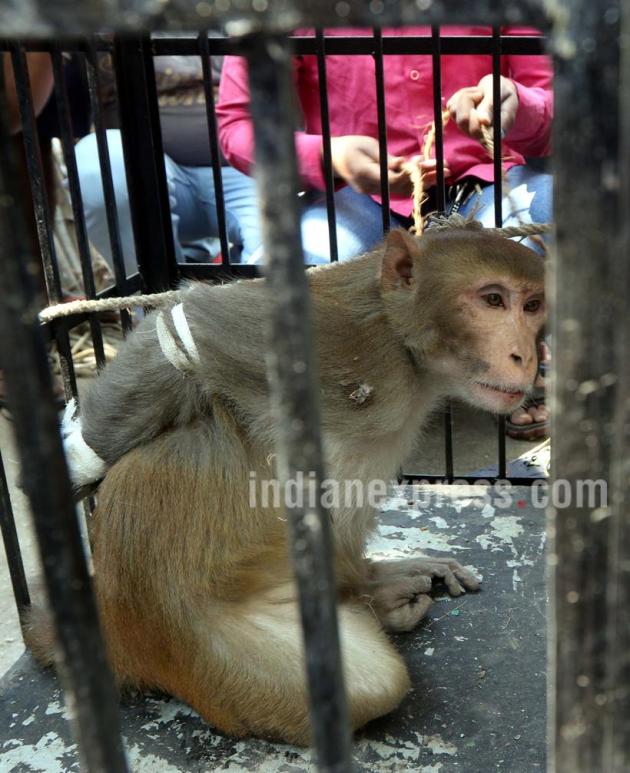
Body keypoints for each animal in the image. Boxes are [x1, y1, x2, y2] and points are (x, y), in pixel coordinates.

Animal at [27, 225, 545, 745]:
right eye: (493, 299)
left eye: (533, 305)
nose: (527, 356)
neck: (410, 361)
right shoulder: (338, 339)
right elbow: (185, 329)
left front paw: (376, 577)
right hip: (197, 646)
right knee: (370, 685)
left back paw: (373, 594)